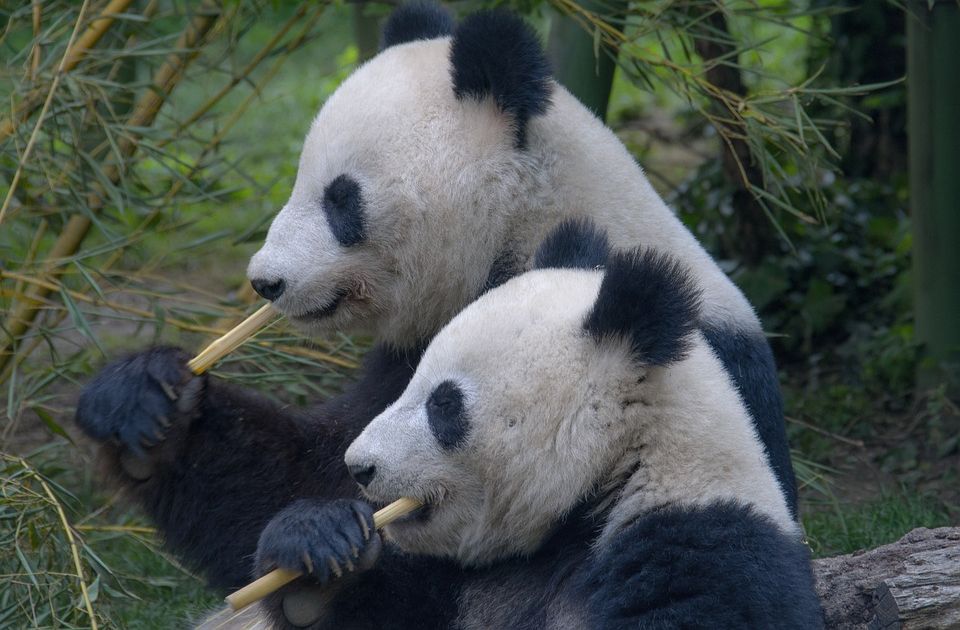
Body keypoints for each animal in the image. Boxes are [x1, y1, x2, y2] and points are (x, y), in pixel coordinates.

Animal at [73, 1, 796, 592]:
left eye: (341, 198)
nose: (265, 281)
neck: (526, 223)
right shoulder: (409, 356)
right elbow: (303, 474)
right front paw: (145, 402)